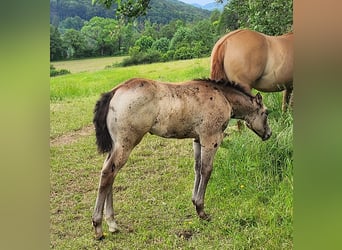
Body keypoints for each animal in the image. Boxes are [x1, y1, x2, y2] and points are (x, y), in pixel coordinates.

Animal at [91, 77, 272, 239]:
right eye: (266, 113)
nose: (269, 134)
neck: (222, 96)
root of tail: (115, 91)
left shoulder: (197, 139)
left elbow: (197, 169)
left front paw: (194, 201)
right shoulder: (211, 138)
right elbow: (207, 170)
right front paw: (201, 211)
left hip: (116, 145)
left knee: (109, 174)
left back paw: (112, 224)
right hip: (126, 144)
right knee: (108, 173)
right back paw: (99, 227)